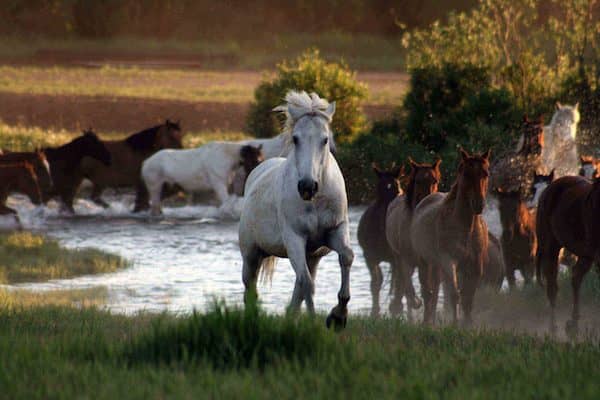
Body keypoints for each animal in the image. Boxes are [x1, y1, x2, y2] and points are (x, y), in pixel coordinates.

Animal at [238, 90, 354, 328]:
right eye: (296, 138)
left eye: (325, 139)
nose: (307, 186)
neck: (316, 201)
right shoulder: (294, 238)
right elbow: (307, 284)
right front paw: (315, 323)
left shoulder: (335, 230)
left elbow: (346, 256)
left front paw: (338, 315)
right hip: (251, 254)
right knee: (251, 288)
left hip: (312, 256)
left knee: (300, 283)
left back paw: (291, 315)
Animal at [356, 162, 404, 316]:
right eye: (380, 186)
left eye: (397, 185)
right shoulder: (369, 257)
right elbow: (375, 283)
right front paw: (374, 311)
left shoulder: (397, 259)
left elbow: (398, 282)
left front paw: (395, 307)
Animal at [384, 158, 440, 318]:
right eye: (418, 181)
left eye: (435, 180)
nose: (429, 200)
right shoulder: (406, 259)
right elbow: (409, 286)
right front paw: (416, 303)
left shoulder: (431, 262)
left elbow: (431, 291)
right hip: (399, 257)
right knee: (403, 282)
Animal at [410, 148, 490, 324]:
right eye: (466, 173)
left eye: (486, 173)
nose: (479, 204)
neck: (465, 228)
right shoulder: (449, 260)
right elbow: (455, 295)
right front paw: (454, 324)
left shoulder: (475, 265)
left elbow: (468, 299)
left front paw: (468, 324)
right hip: (424, 261)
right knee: (427, 293)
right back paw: (427, 322)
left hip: (437, 265)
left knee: (434, 293)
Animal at [536, 177, 600, 336]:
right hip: (550, 248)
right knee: (552, 287)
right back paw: (553, 328)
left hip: (585, 254)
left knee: (576, 277)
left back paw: (573, 325)